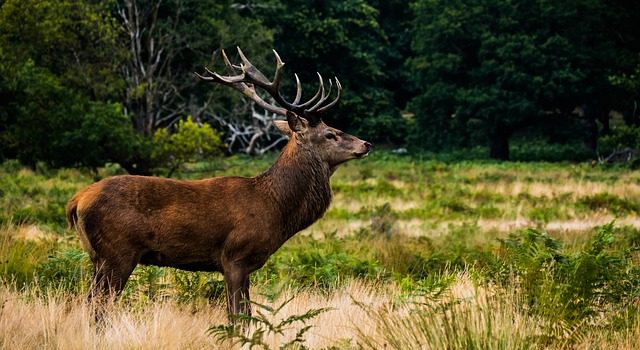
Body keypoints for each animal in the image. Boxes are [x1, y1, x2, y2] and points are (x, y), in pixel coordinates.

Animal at [65, 47, 372, 322]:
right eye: (330, 133)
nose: (366, 143)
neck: (275, 208)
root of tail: (76, 201)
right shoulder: (234, 257)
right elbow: (238, 316)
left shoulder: (245, 265)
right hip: (117, 253)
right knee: (98, 308)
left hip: (98, 257)